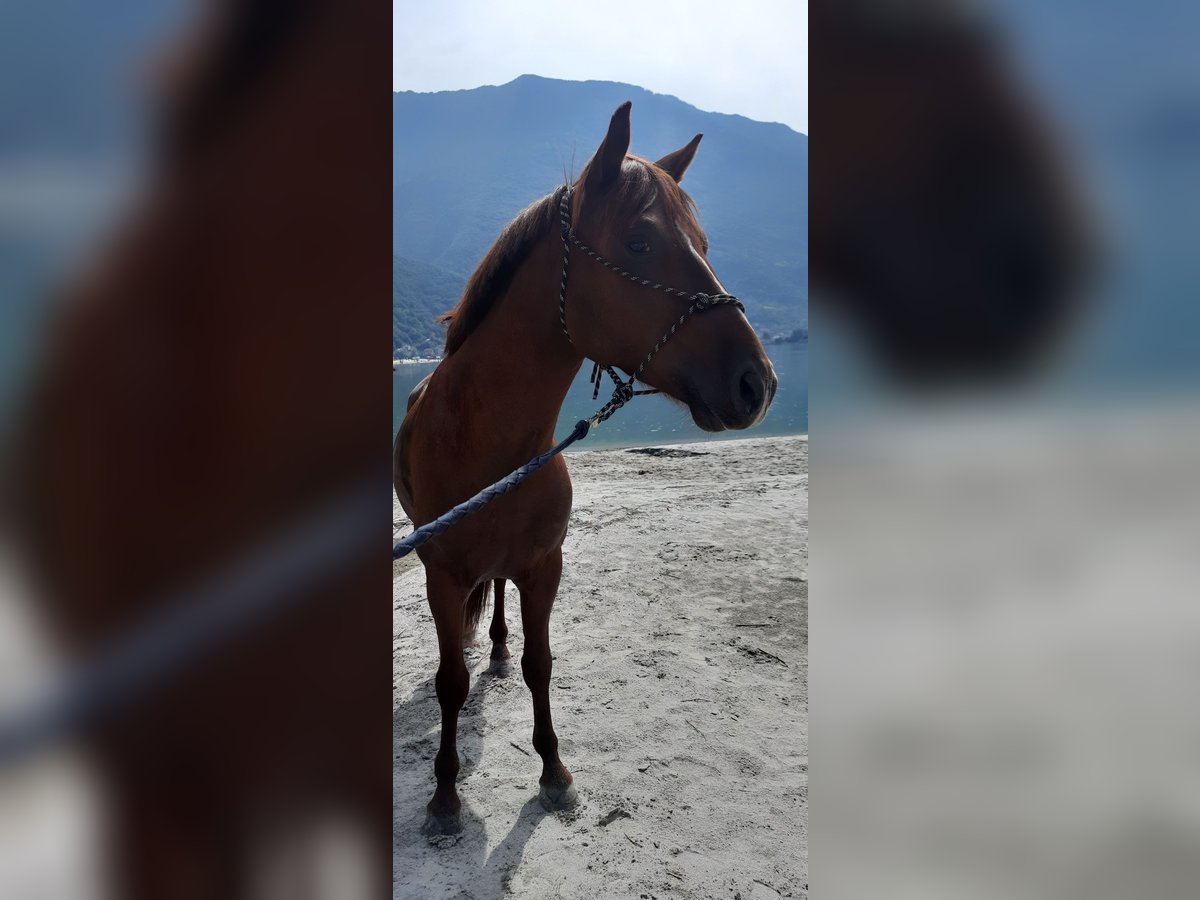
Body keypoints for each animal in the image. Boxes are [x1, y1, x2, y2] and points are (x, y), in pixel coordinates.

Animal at [393, 102, 777, 835]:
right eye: (639, 243)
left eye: (704, 244)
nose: (758, 383)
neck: (488, 442)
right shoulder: (441, 576)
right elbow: (450, 682)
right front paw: (445, 793)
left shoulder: (546, 565)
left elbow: (541, 665)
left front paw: (553, 769)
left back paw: (497, 646)